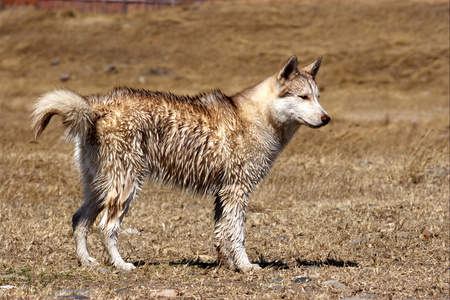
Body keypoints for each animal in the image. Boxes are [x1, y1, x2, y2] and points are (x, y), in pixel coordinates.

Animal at [30, 55, 326, 272]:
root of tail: (96, 107)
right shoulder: (237, 191)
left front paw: (228, 265)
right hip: (126, 186)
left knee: (79, 220)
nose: (327, 119)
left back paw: (86, 262)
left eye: (318, 96)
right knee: (106, 227)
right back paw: (121, 265)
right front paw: (246, 267)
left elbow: (222, 235)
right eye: (303, 97)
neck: (257, 117)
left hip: (99, 187)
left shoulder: (222, 193)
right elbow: (237, 235)